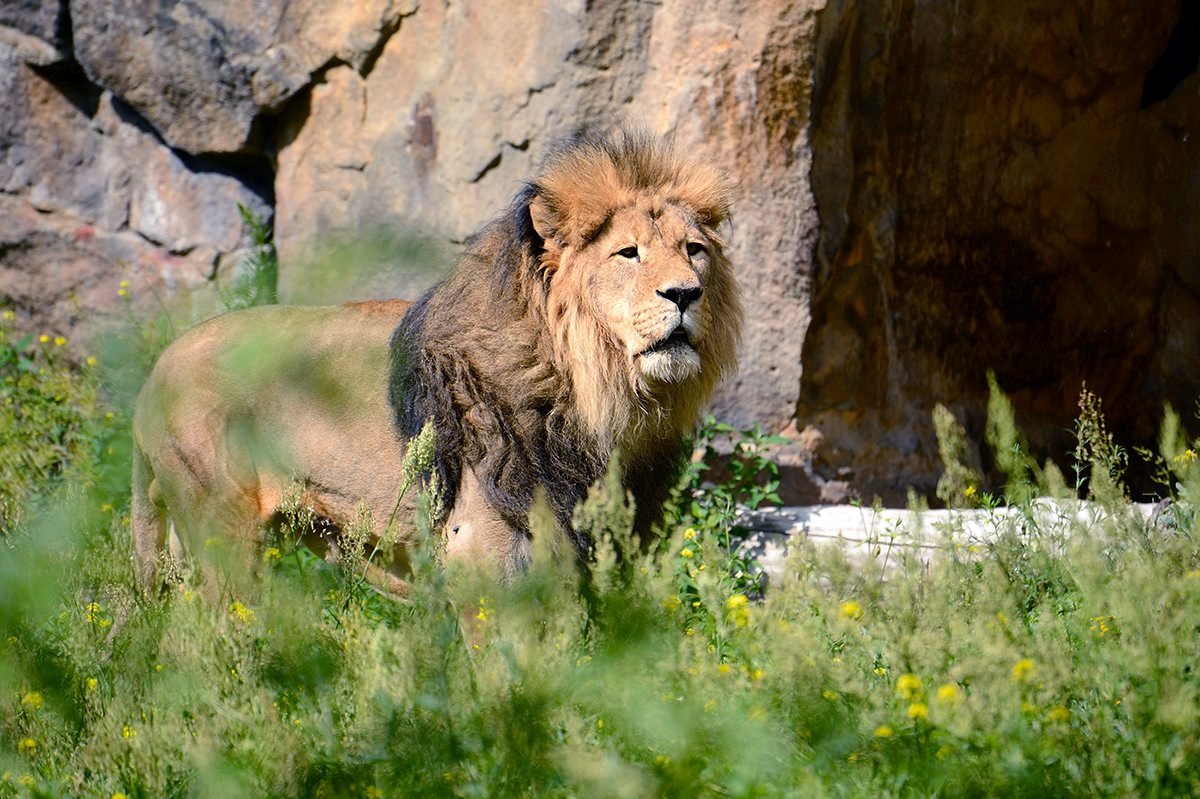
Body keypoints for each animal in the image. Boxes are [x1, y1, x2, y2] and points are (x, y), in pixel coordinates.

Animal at [131, 127, 742, 594]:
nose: (685, 293)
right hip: (223, 528)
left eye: (693, 250)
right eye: (627, 253)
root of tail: (153, 374)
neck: (598, 393)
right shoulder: (483, 553)